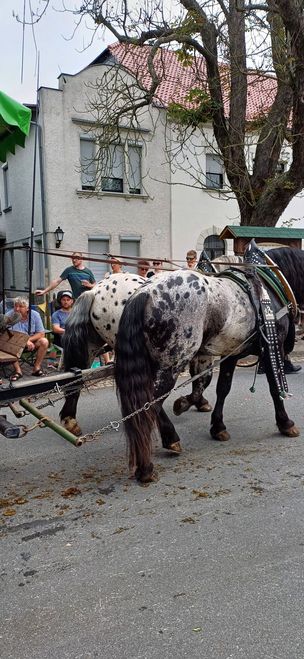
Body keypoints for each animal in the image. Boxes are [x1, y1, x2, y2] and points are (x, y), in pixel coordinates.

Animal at [116, 268, 300, 484]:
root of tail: (145, 291)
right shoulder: (273, 346)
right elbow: (274, 388)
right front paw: (285, 423)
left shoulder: (231, 353)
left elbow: (222, 388)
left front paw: (217, 426)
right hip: (172, 363)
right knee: (150, 404)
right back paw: (149, 463)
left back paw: (167, 441)